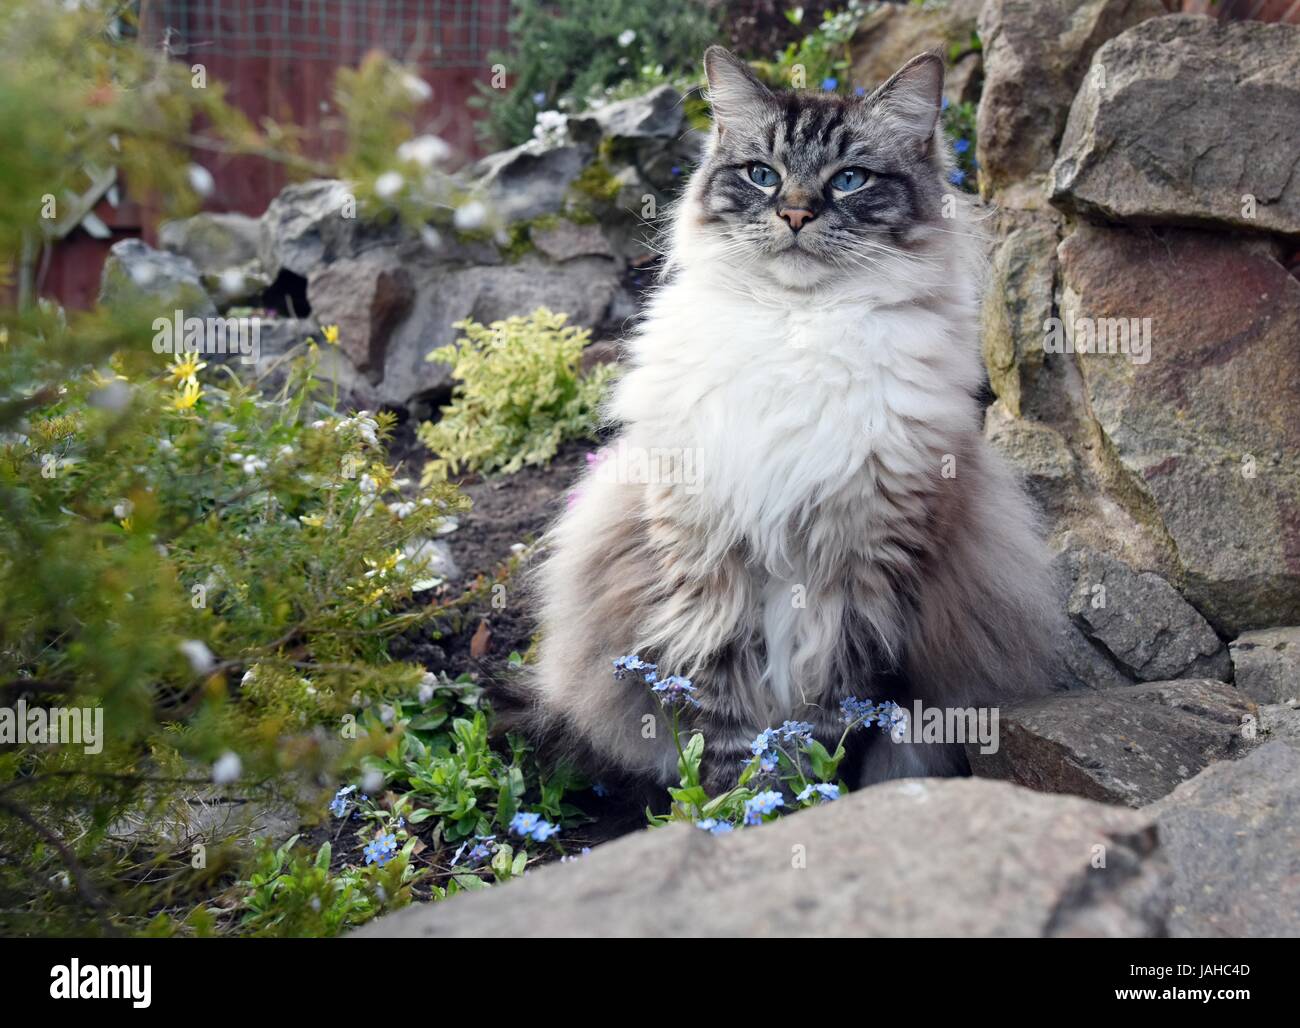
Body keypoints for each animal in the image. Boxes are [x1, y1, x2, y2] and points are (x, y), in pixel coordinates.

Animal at [501, 44, 1060, 790]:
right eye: (761, 176)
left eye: (850, 180)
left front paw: (814, 798)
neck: (797, 327)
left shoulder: (866, 566)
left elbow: (836, 720)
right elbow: (724, 722)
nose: (795, 214)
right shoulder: (709, 560)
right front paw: (737, 804)